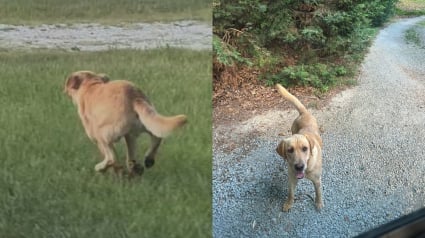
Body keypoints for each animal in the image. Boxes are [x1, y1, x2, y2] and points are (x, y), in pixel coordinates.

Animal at [274, 84, 322, 212]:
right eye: (290, 150)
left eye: (305, 148)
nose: (299, 167)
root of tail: (304, 112)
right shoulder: (291, 178)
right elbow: (290, 193)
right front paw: (289, 203)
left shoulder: (317, 181)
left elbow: (318, 193)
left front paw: (319, 203)